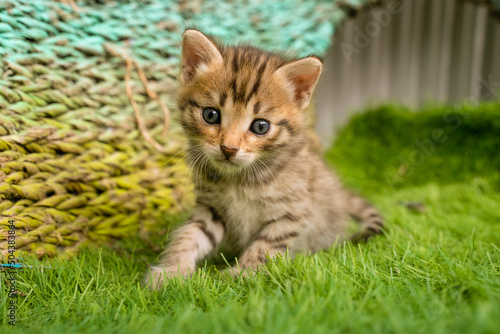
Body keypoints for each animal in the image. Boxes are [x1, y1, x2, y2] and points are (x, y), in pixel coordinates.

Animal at [145, 29, 382, 290]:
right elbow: (190, 234)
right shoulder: (211, 208)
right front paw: (171, 271)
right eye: (210, 114)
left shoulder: (292, 213)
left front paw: (241, 274)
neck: (238, 180)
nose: (228, 148)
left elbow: (265, 246)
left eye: (260, 126)